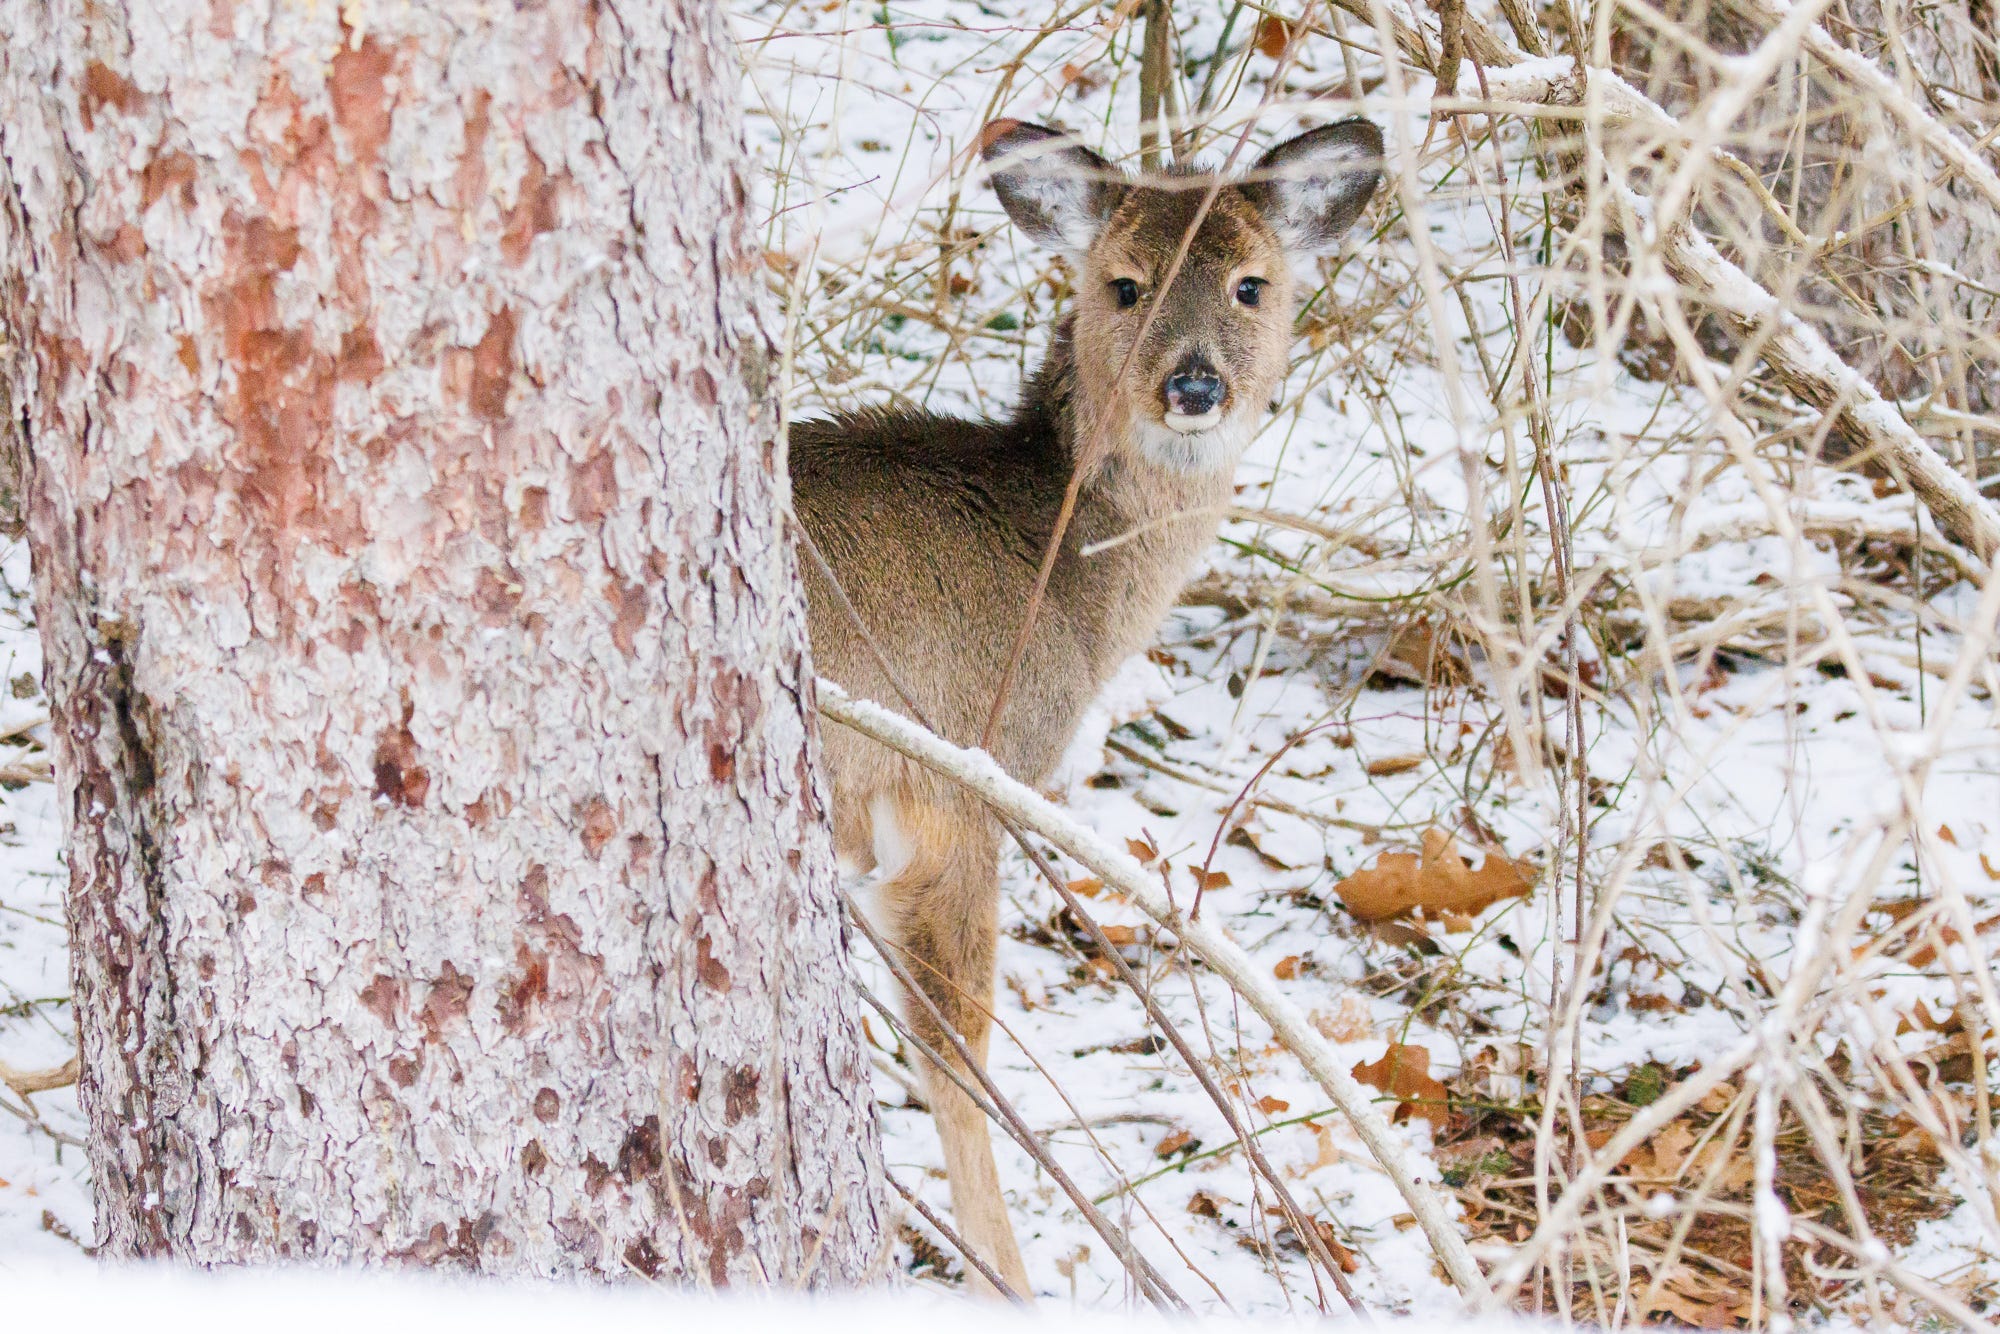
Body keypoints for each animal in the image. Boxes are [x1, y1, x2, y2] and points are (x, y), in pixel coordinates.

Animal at [789, 116, 1384, 1298]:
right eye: (1123, 284)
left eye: (1251, 283)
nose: (1194, 384)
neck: (1058, 570)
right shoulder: (956, 779)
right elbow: (956, 1048)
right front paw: (1007, 1281)